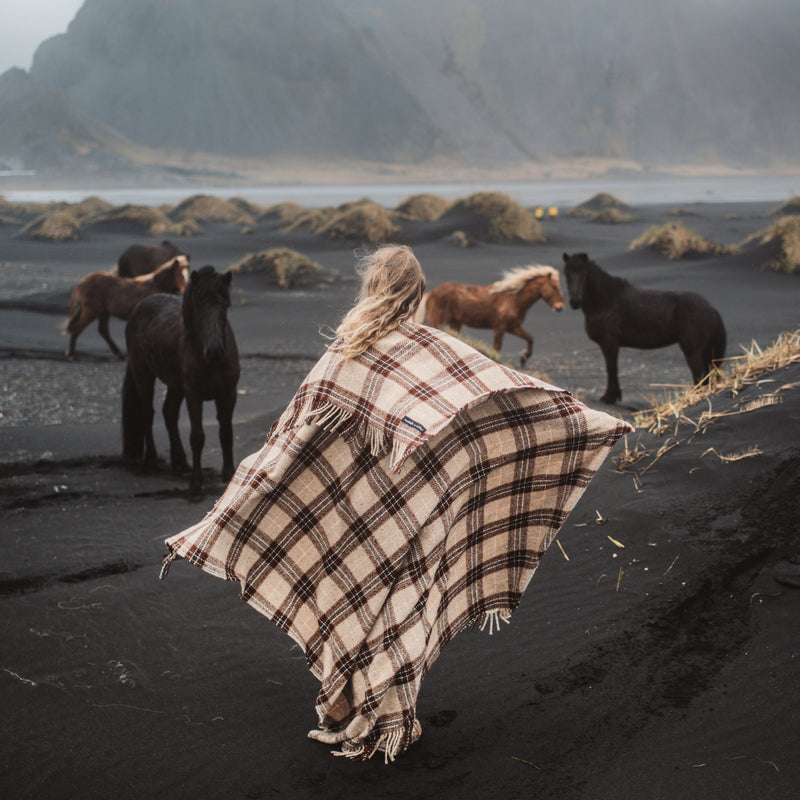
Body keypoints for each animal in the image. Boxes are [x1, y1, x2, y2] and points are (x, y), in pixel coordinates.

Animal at [122, 268, 241, 494]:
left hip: (175, 386)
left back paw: (181, 463)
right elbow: (197, 437)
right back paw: (151, 460)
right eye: (198, 304)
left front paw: (229, 474)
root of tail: (139, 307)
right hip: (144, 377)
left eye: (223, 304)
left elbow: (226, 432)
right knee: (148, 414)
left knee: (168, 413)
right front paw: (196, 484)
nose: (214, 351)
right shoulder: (193, 395)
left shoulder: (228, 394)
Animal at [416, 266, 564, 366]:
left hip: (455, 323)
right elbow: (496, 349)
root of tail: (432, 293)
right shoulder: (499, 329)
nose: (560, 307)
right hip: (438, 320)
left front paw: (523, 359)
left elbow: (530, 339)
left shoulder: (513, 327)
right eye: (554, 287)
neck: (513, 299)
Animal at [564, 252, 724, 404]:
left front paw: (609, 397)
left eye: (585, 274)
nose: (574, 301)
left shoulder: (610, 344)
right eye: (566, 275)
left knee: (700, 377)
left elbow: (611, 369)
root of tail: (712, 309)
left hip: (692, 351)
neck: (606, 300)